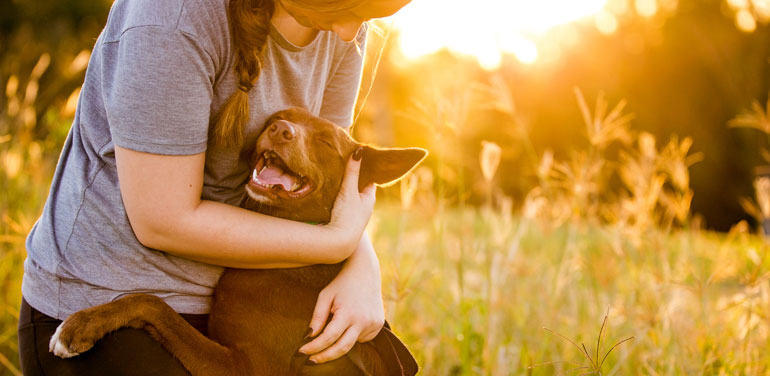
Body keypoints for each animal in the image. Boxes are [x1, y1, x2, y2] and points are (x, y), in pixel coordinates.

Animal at [48, 107, 426, 374]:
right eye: (281, 117)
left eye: (325, 143)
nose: (279, 129)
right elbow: (155, 306)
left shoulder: (249, 367)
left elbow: (154, 303)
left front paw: (80, 326)